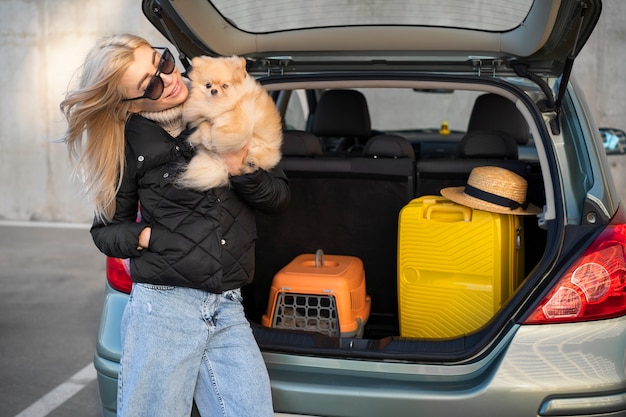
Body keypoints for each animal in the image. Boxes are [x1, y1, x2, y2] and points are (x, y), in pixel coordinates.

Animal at [177, 55, 282, 190]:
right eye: (208, 85)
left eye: (225, 86)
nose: (214, 91)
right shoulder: (203, 118)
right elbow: (205, 123)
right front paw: (208, 140)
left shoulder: (241, 115)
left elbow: (228, 125)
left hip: (265, 150)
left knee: (259, 161)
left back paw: (252, 162)